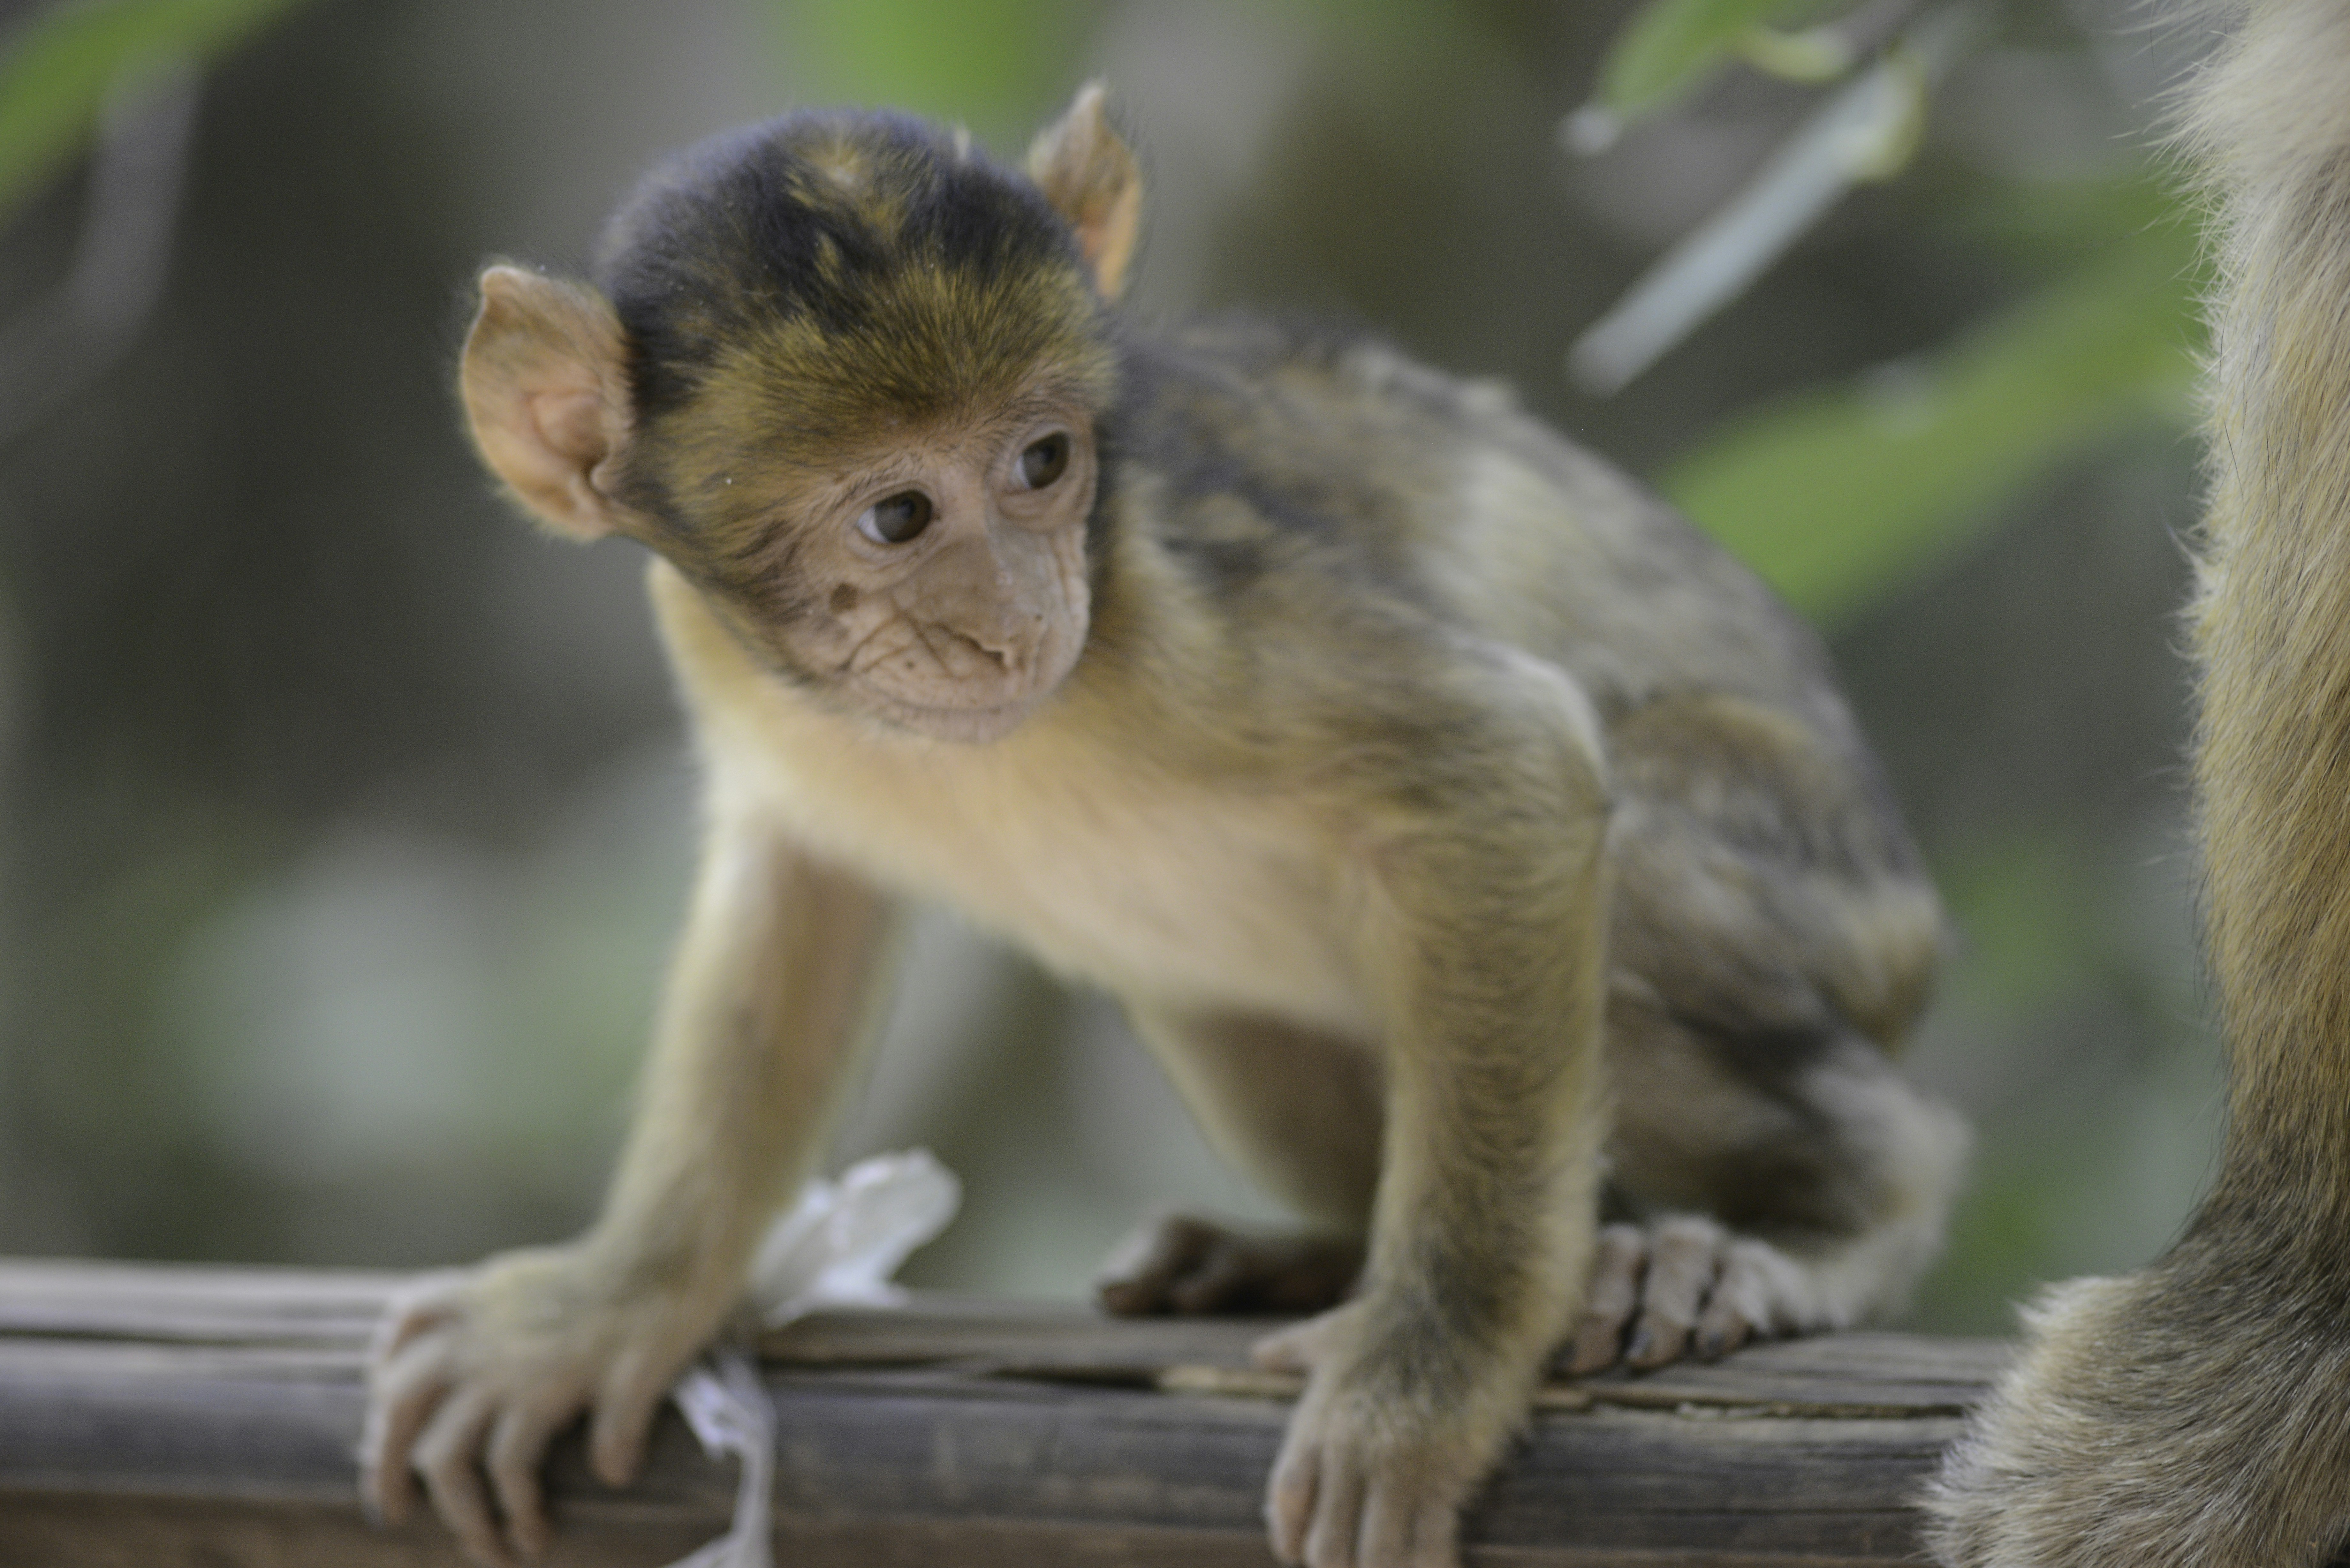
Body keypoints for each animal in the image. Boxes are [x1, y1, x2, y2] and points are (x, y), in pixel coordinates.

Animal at [358, 85, 1964, 1568]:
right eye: (895, 517)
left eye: (1043, 463)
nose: (1017, 622)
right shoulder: (711, 649)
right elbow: (797, 896)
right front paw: (612, 1303)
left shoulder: (1174, 615)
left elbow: (1503, 762)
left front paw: (1423, 1380)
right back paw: (1297, 1255)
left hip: (1827, 897)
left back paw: (1831, 1214)